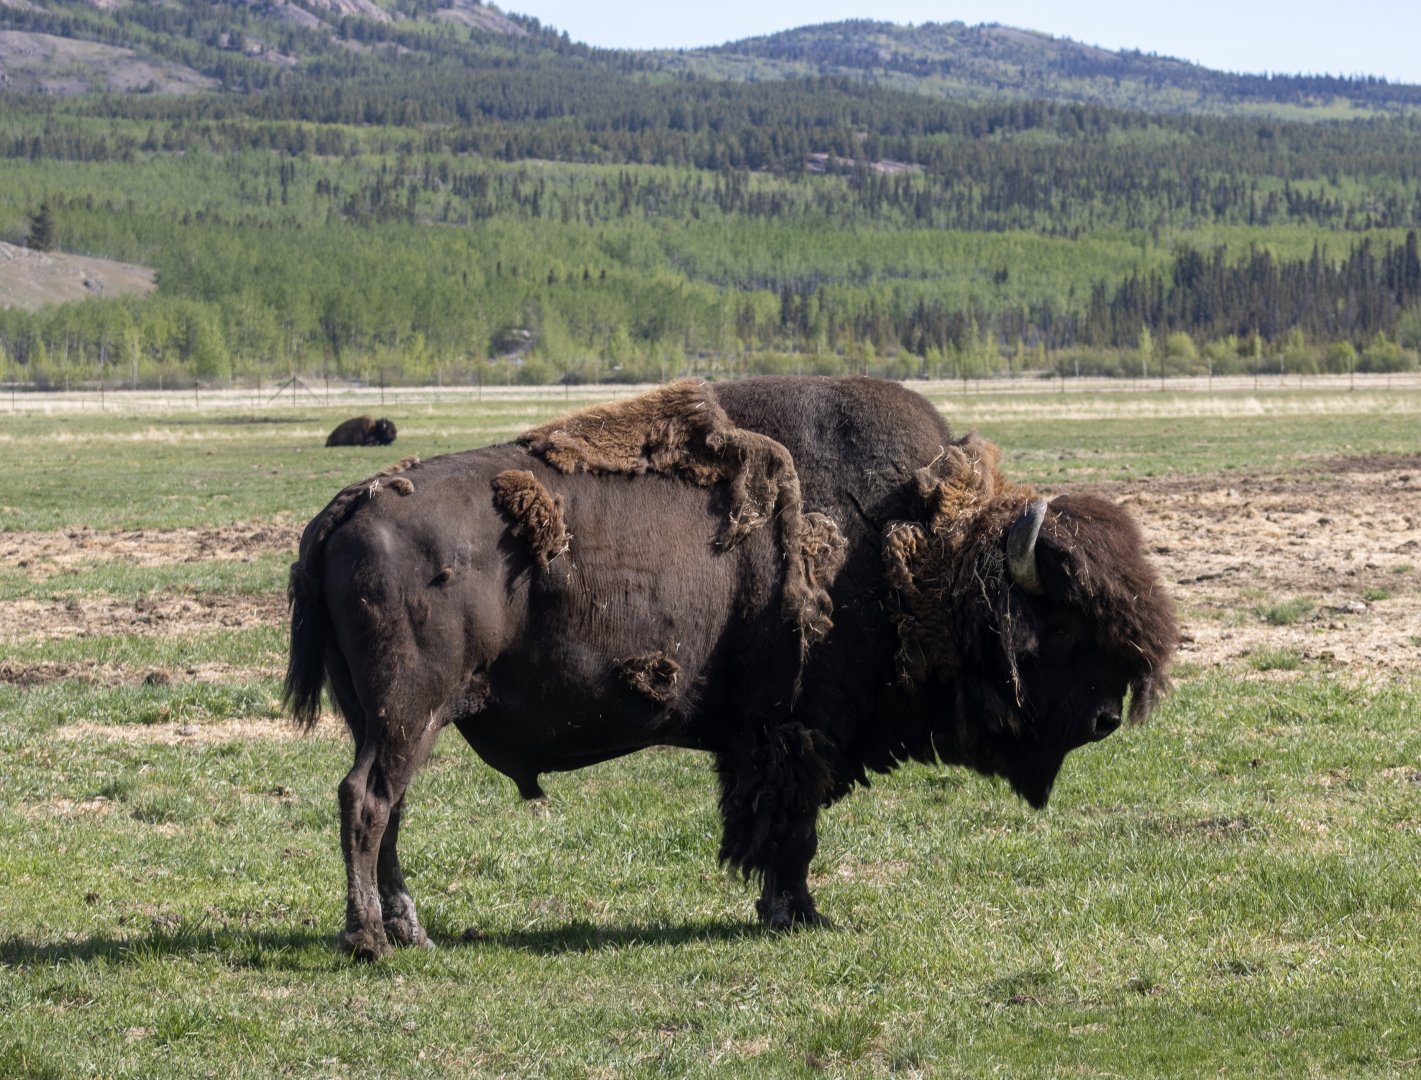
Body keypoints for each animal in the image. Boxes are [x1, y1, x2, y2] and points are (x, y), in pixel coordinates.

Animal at [285, 376, 1178, 959]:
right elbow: (792, 831)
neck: (921, 546)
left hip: (393, 720)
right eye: (1062, 618)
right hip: (408, 711)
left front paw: (787, 911)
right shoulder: (800, 734)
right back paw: (370, 940)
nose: (1104, 718)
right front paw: (796, 914)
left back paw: (410, 929)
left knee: (388, 808)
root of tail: (349, 505)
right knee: (366, 801)